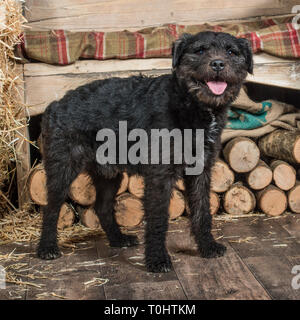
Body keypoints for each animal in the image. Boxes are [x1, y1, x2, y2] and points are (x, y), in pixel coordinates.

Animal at [38, 31, 253, 272]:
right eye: (199, 50)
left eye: (231, 51)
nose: (217, 64)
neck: (189, 104)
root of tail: (55, 105)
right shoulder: (160, 176)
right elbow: (158, 218)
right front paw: (157, 259)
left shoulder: (200, 172)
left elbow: (202, 211)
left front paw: (207, 246)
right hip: (63, 169)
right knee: (51, 207)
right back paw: (47, 248)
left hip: (109, 174)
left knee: (102, 207)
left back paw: (118, 239)